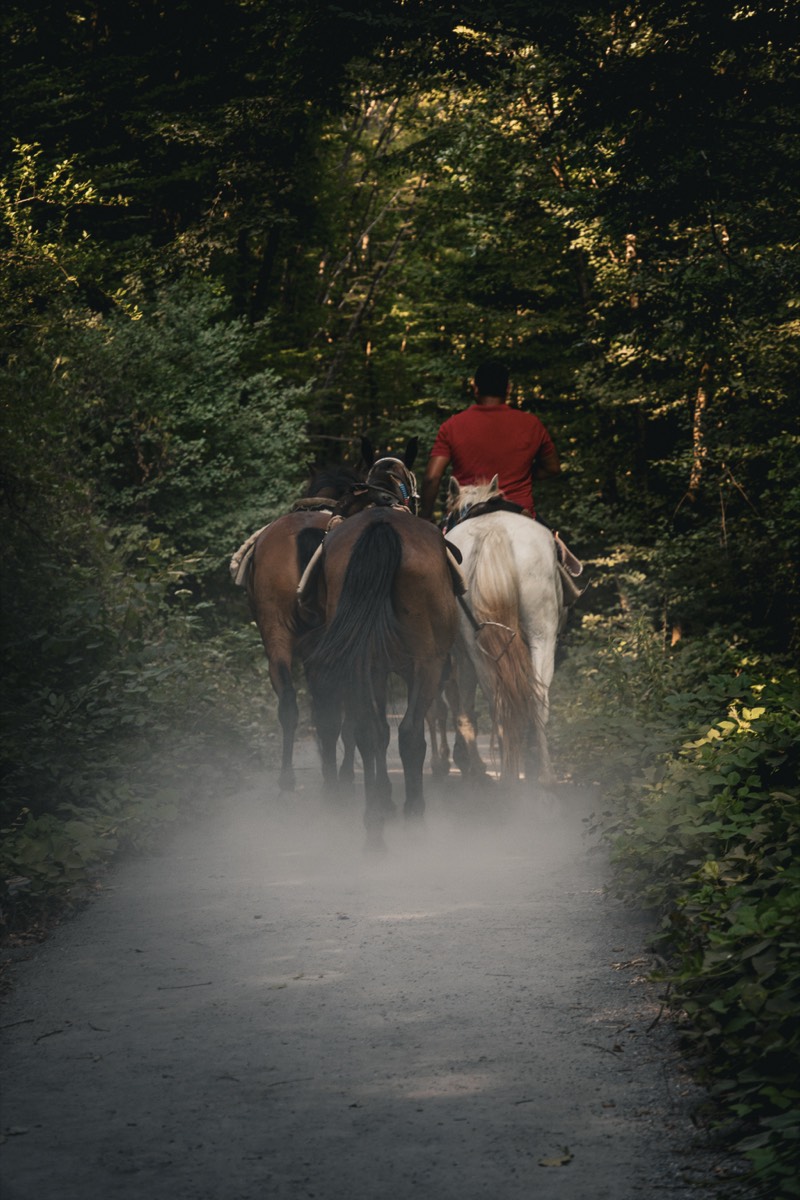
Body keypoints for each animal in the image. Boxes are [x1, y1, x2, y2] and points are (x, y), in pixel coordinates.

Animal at [303, 456, 458, 849]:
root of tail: (381, 526)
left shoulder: (375, 667)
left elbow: (374, 732)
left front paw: (383, 799)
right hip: (427, 663)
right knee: (410, 733)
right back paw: (414, 815)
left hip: (365, 659)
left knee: (369, 730)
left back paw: (373, 824)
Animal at [444, 476, 564, 787]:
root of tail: (494, 531)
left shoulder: (461, 654)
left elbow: (464, 704)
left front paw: (468, 762)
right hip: (542, 633)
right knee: (538, 697)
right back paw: (542, 773)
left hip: (478, 648)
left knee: (497, 702)